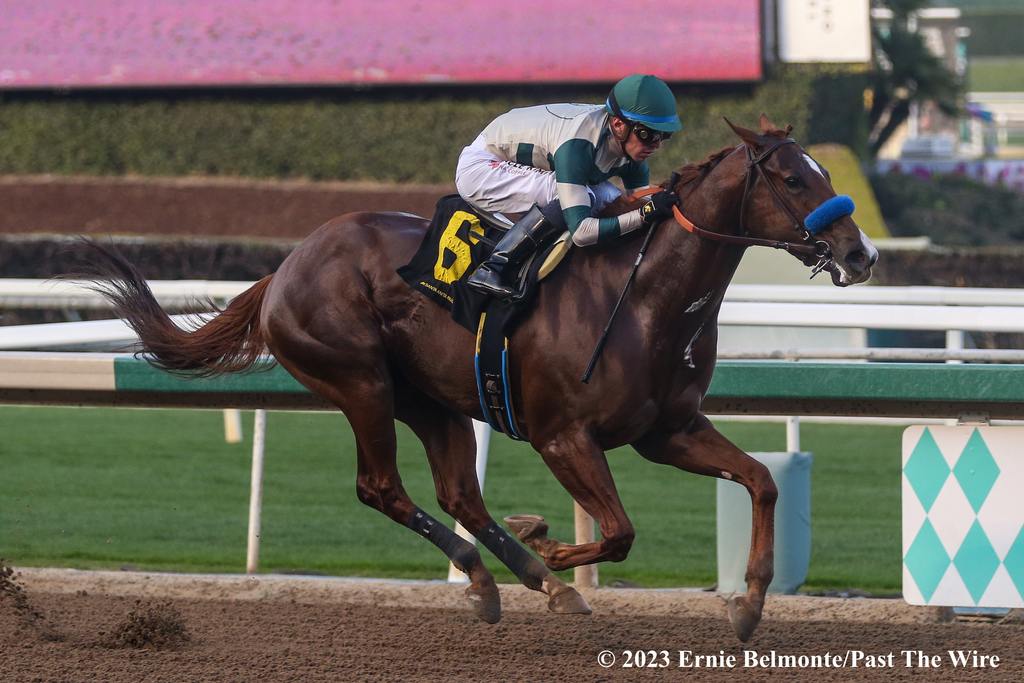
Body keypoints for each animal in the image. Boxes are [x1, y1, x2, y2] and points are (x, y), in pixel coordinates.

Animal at [77, 114, 880, 643]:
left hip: (434, 399)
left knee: (458, 491)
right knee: (382, 487)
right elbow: (619, 532)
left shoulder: (667, 430)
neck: (645, 296)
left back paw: (521, 577)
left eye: (826, 173)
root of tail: (285, 267)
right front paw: (552, 546)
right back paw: (508, 572)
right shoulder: (563, 436)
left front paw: (749, 604)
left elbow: (762, 481)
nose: (860, 252)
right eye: (790, 177)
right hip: (360, 381)